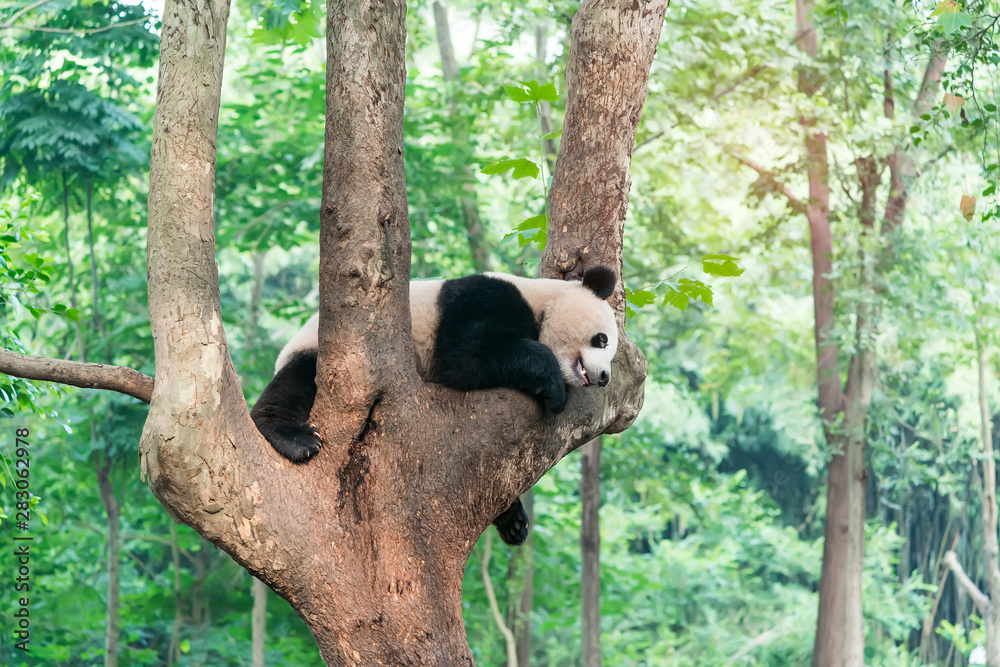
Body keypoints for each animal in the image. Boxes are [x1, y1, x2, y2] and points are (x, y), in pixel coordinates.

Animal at [250, 266, 619, 545]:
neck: (543, 300)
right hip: (331, 357)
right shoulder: (484, 301)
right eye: (601, 339)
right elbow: (466, 357)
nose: (604, 377)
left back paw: (512, 519)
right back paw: (294, 438)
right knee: (297, 382)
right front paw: (554, 386)